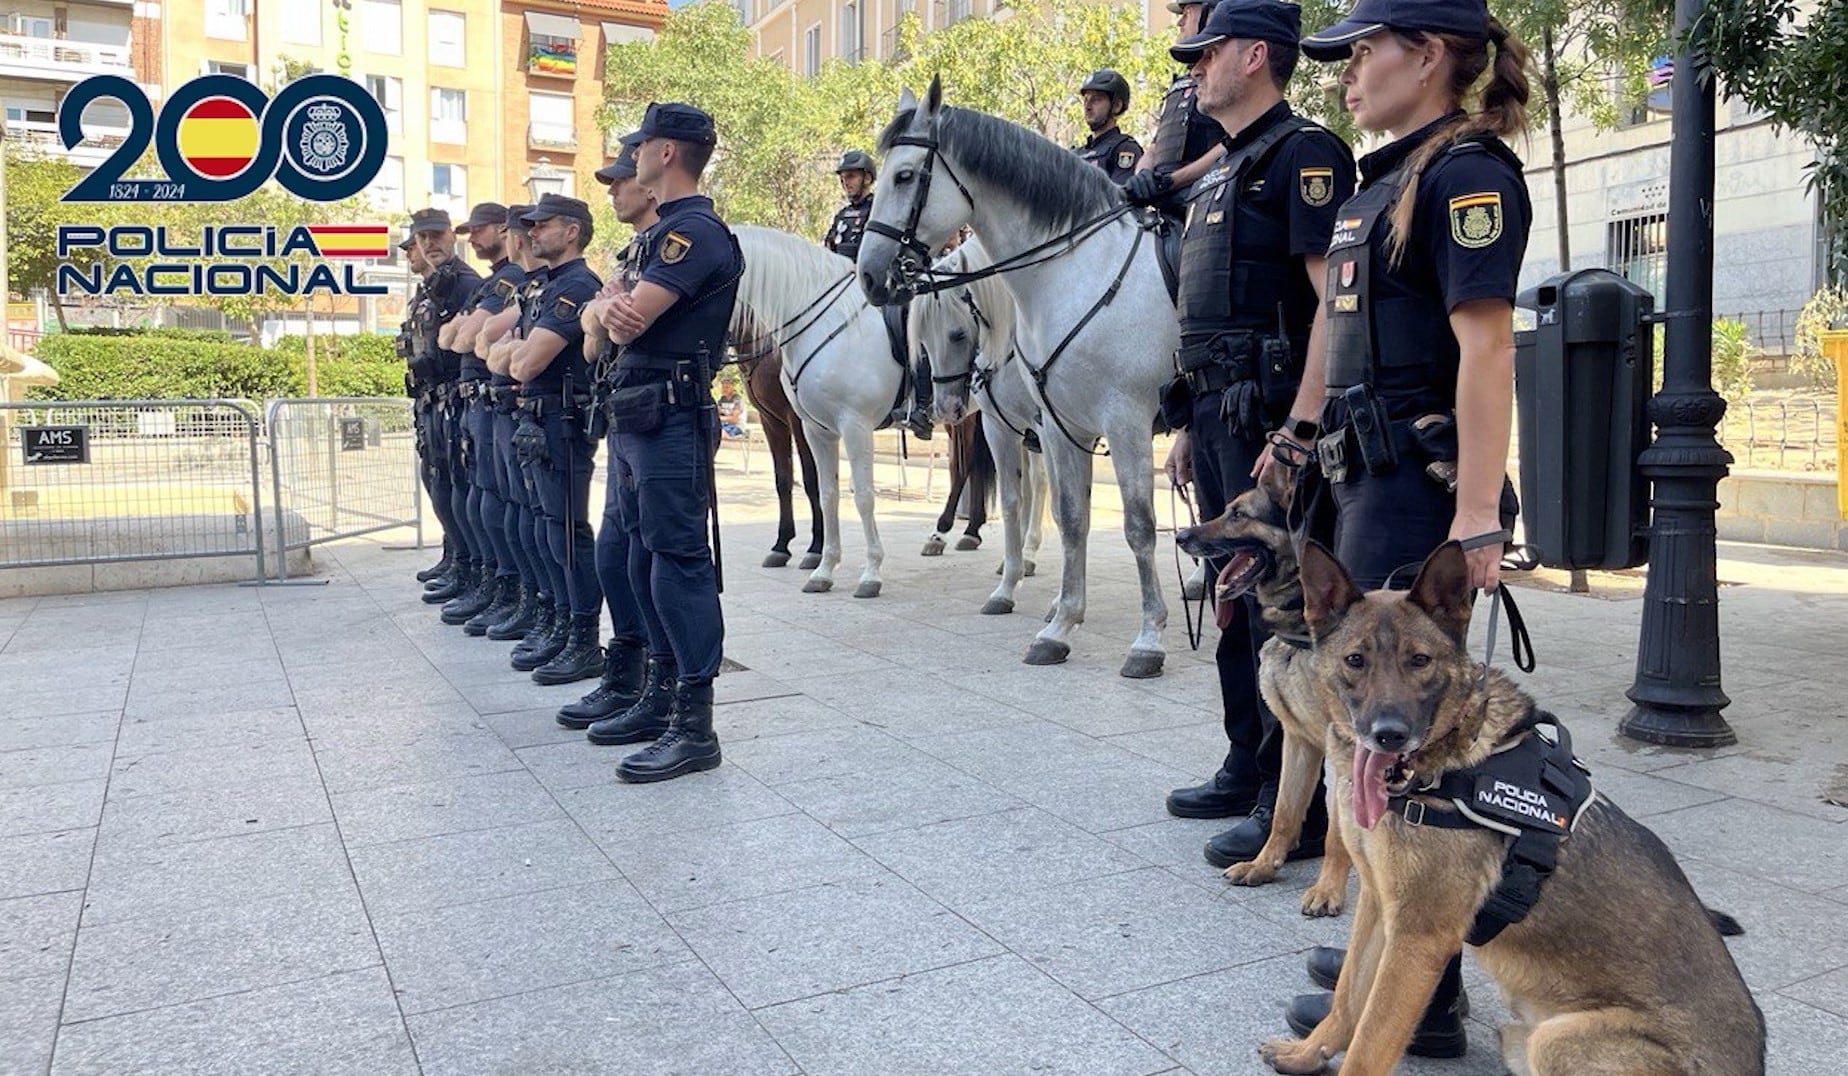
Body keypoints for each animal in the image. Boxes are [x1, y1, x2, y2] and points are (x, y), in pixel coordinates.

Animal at [735, 224, 909, 602]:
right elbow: (817, 489)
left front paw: (867, 571)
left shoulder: (850, 425)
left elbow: (856, 494)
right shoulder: (804, 426)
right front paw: (816, 564)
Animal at [1175, 464, 1352, 920]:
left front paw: (1328, 889)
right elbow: (1285, 813)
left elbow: (1337, 835)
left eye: (1239, 515)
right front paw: (1263, 865)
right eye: (1225, 509)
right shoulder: (1298, 740)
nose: (1181, 536)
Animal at [1256, 543, 1759, 1076]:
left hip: (1553, 1040)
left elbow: (1370, 1046)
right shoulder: (1378, 905)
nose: (1388, 735)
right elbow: (1348, 997)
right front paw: (1308, 1053)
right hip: (1521, 1036)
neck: (1450, 761)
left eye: (1419, 661)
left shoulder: (1417, 938)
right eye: (1355, 660)